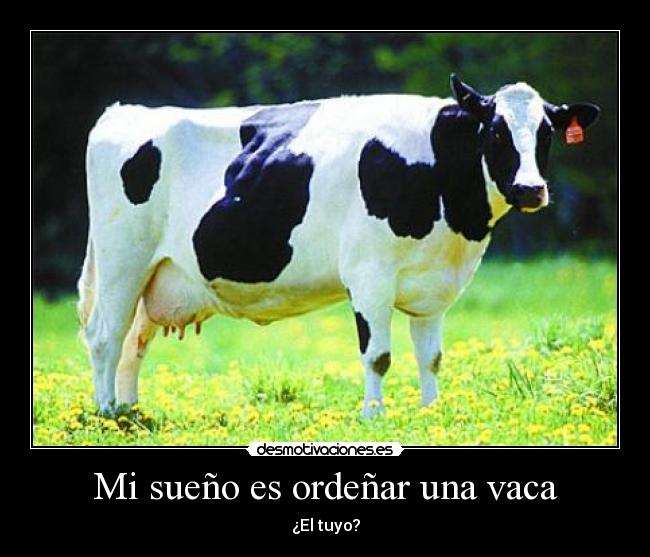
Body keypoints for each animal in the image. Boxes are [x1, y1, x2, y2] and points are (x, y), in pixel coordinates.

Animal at [78, 74, 600, 418]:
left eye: (546, 133)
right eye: (495, 131)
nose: (531, 189)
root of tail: (124, 111)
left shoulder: (434, 286)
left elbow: (431, 356)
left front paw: (432, 413)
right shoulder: (369, 275)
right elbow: (379, 355)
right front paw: (373, 417)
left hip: (156, 274)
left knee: (133, 341)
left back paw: (131, 413)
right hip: (122, 260)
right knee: (105, 336)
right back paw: (106, 414)